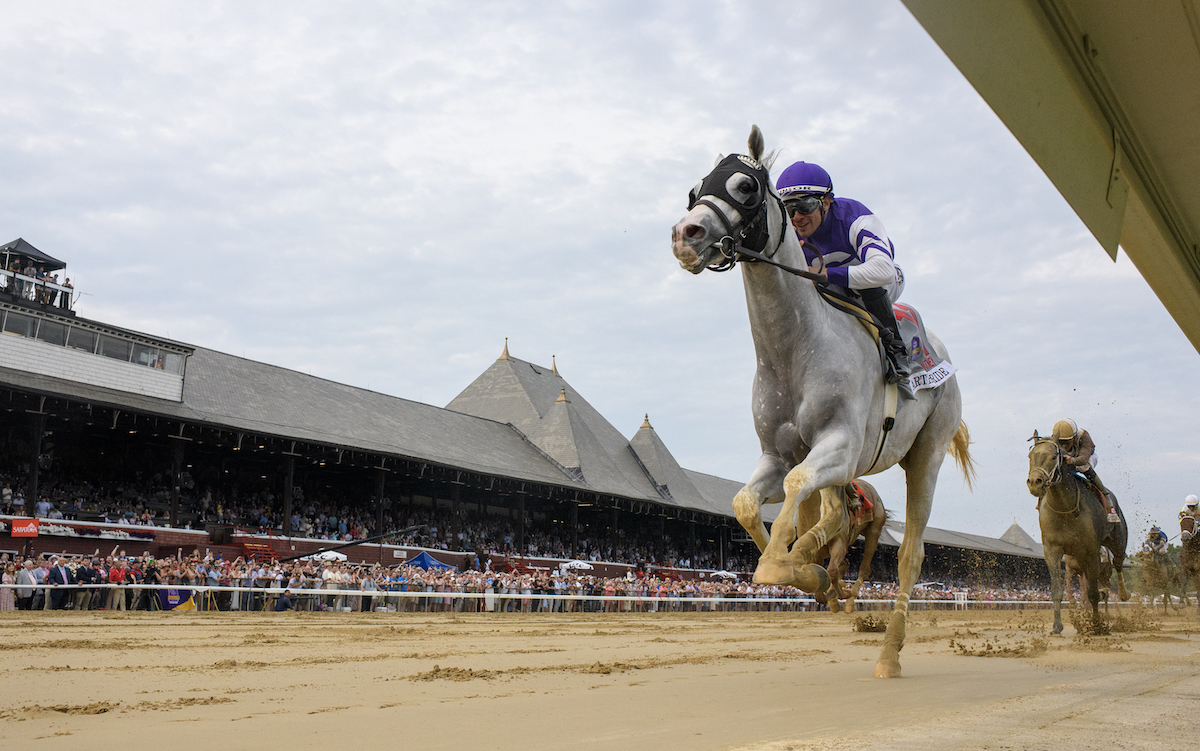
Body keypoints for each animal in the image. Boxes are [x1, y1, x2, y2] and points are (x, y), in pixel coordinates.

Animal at [792, 477, 888, 611]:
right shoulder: (816, 554)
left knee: (864, 568)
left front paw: (842, 595)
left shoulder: (839, 543)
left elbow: (831, 572)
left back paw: (850, 599)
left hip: (874, 530)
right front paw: (833, 599)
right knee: (845, 564)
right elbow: (820, 582)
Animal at [1027, 431, 1128, 633]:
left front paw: (1096, 625)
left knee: (1118, 564)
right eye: (1030, 457)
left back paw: (1124, 594)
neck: (1065, 509)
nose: (1035, 482)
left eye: (1053, 457)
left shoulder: (1091, 553)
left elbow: (1093, 594)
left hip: (1118, 541)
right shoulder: (1052, 550)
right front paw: (1057, 626)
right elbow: (1058, 590)